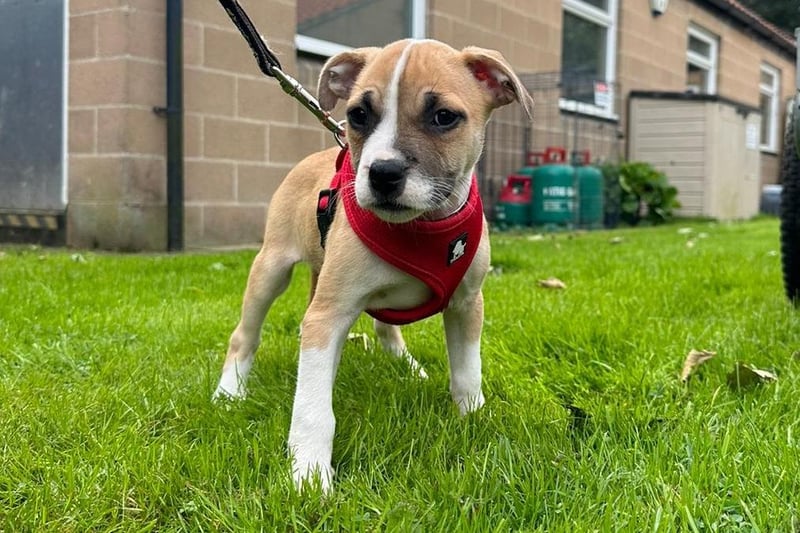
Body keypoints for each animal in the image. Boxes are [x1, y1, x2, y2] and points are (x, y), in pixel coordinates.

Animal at [216, 39, 536, 490]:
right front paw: (309, 473)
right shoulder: (327, 317)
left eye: (444, 117)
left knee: (386, 327)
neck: (422, 227)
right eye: (358, 115)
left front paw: (472, 418)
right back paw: (229, 392)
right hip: (271, 269)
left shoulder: (467, 304)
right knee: (244, 335)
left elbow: (467, 372)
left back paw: (407, 366)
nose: (383, 173)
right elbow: (312, 406)